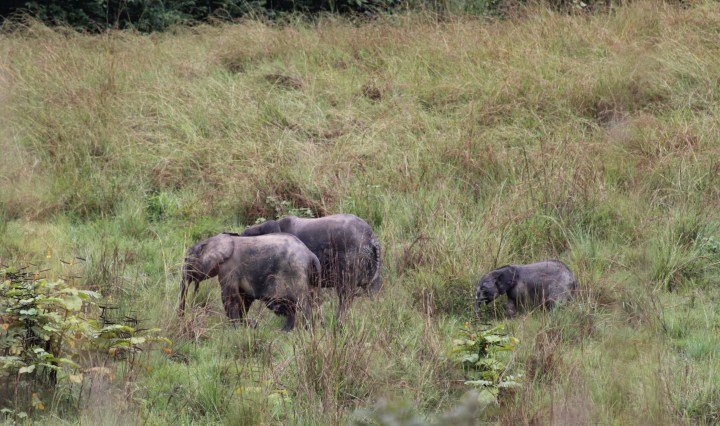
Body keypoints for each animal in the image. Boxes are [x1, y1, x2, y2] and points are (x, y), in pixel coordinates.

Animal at [179, 232, 320, 331]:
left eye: (186, 260)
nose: (182, 319)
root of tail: (310, 255)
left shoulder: (229, 268)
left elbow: (230, 297)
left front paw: (235, 329)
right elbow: (244, 298)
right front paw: (246, 326)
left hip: (296, 273)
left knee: (301, 303)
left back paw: (306, 331)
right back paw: (286, 331)